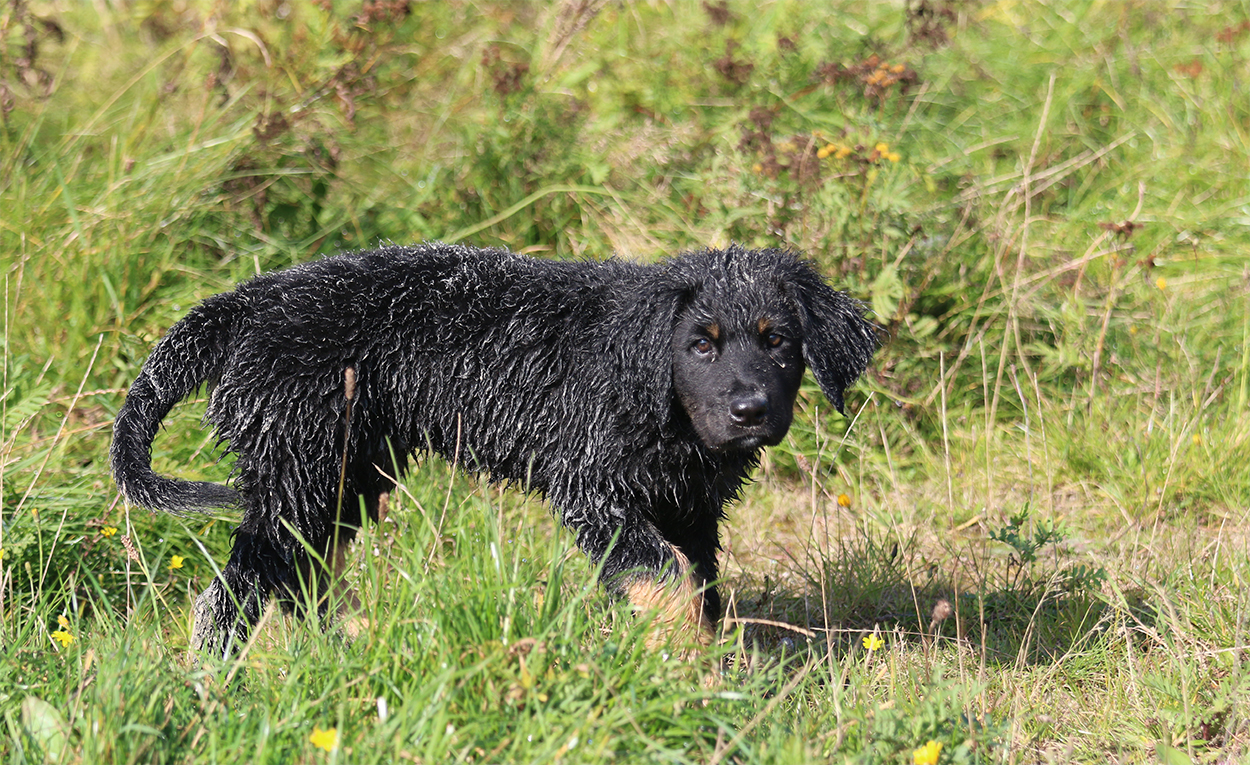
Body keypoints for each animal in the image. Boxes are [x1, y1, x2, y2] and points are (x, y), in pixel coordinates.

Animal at [111, 243, 876, 656]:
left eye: (779, 341)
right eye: (701, 345)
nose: (750, 411)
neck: (651, 392)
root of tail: (246, 302)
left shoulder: (691, 507)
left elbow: (703, 585)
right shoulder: (594, 490)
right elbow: (666, 580)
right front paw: (683, 669)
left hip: (343, 473)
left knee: (303, 578)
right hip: (296, 470)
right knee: (234, 591)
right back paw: (213, 683)